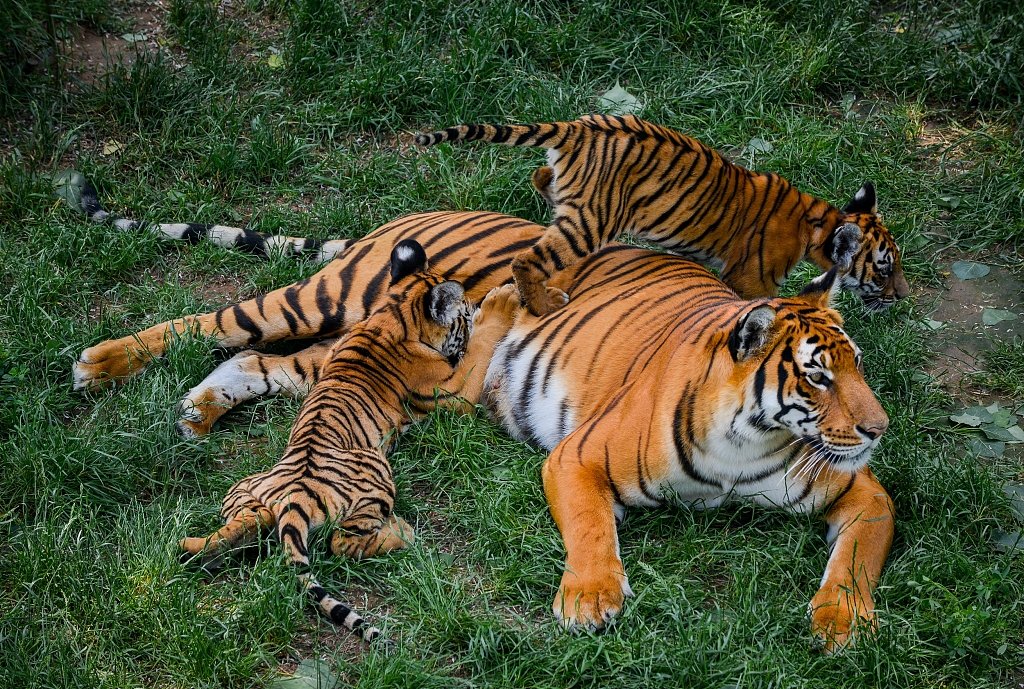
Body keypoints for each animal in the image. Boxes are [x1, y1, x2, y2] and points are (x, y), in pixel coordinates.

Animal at [179, 239, 525, 641]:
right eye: (465, 319)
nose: (470, 318)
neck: (392, 314)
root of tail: (295, 497)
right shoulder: (453, 390)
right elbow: (480, 351)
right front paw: (502, 301)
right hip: (377, 476)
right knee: (341, 542)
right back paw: (401, 533)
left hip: (243, 489)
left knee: (252, 521)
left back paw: (191, 548)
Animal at [415, 114, 910, 315]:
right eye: (884, 270)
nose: (903, 297)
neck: (818, 222)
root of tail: (579, 127)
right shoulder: (752, 281)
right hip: (592, 221)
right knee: (527, 260)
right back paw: (543, 305)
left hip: (573, 197)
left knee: (540, 177)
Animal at [480, 244, 893, 653]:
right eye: (818, 377)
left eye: (857, 363)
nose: (879, 428)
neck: (740, 446)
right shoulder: (577, 455)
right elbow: (590, 525)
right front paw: (590, 598)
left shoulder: (867, 493)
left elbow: (855, 559)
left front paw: (841, 620)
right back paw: (501, 300)